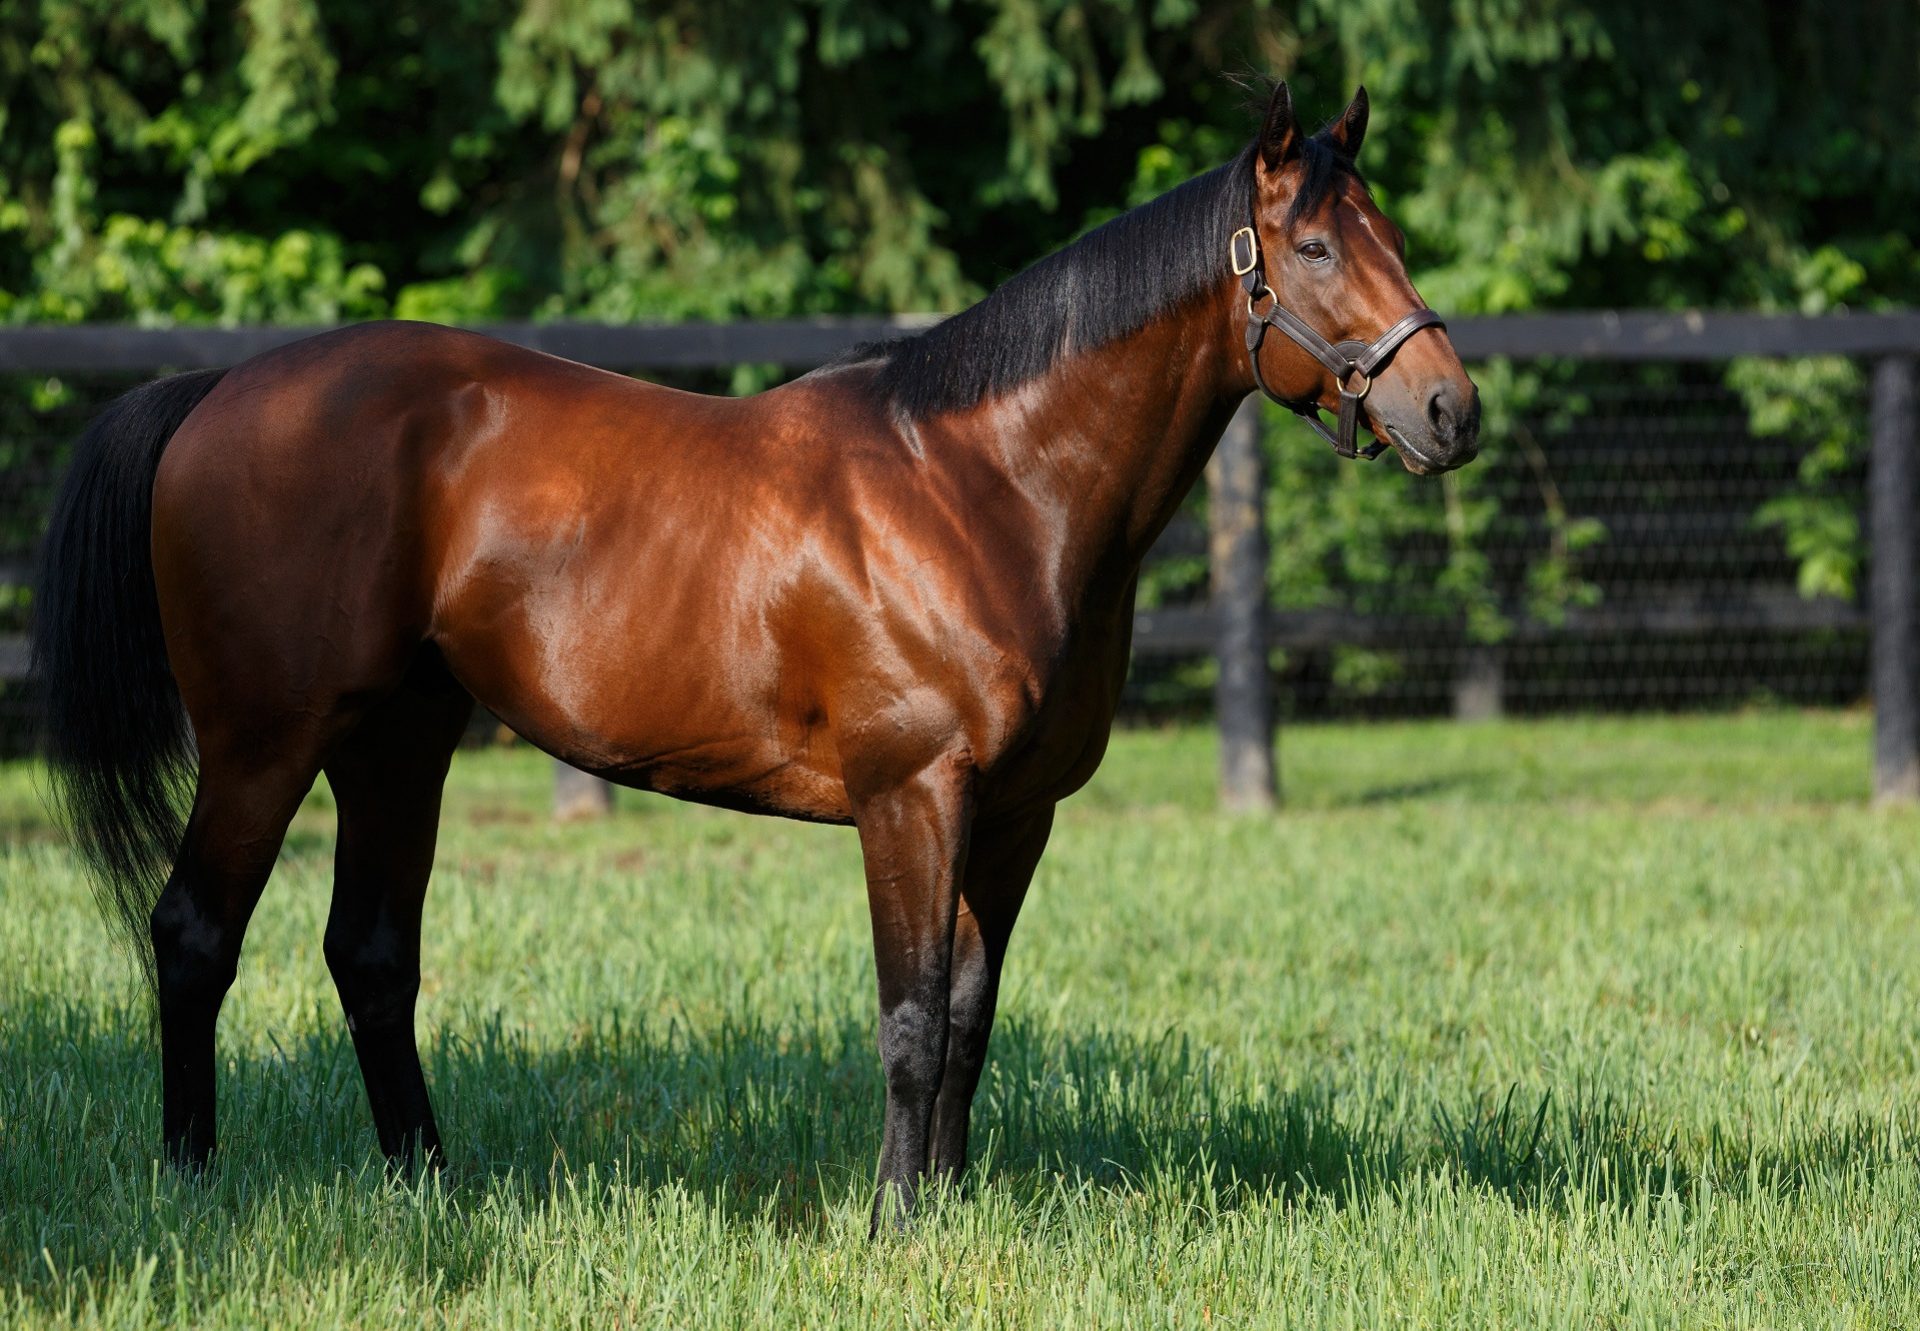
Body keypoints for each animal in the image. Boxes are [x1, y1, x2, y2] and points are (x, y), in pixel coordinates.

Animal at [30, 83, 1474, 1221]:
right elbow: (908, 1017)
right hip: (266, 743)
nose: (1450, 409)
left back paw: (427, 1181)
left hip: (398, 740)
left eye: (1394, 237)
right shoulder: (911, 797)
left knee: (371, 954)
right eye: (1309, 243)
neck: (981, 488)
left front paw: (951, 1205)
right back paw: (193, 1180)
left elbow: (971, 1015)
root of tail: (215, 392)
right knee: (194, 932)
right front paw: (894, 1223)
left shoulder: (1014, 817)